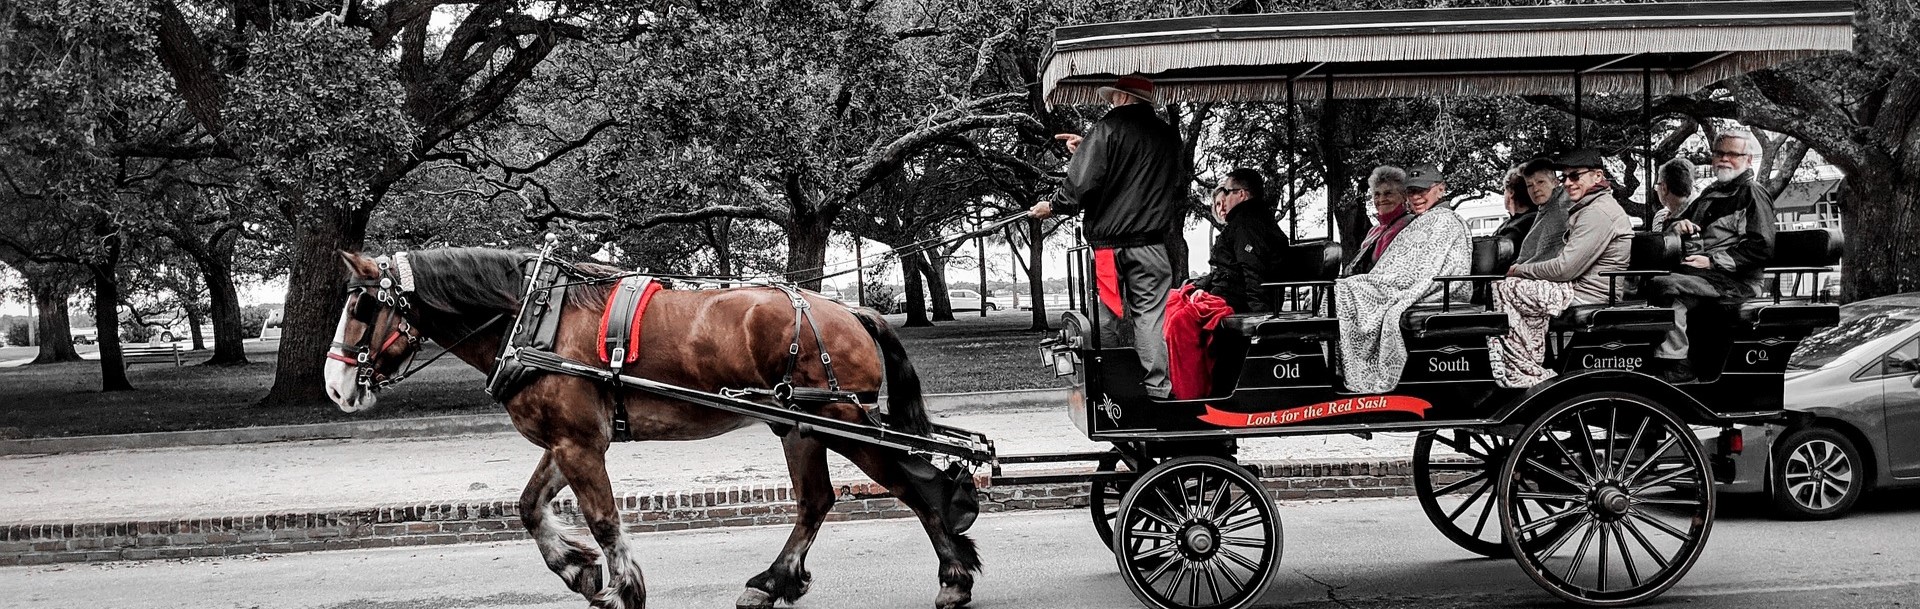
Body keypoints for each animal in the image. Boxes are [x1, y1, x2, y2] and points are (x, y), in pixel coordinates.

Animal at [324, 247, 983, 607]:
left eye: (362, 306)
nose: (335, 385)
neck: (536, 317)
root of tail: (850, 309)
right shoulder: (569, 441)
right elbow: (530, 507)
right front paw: (578, 569)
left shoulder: (579, 444)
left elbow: (604, 521)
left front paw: (622, 588)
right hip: (802, 427)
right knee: (817, 500)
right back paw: (773, 582)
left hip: (839, 419)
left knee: (917, 484)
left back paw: (953, 577)